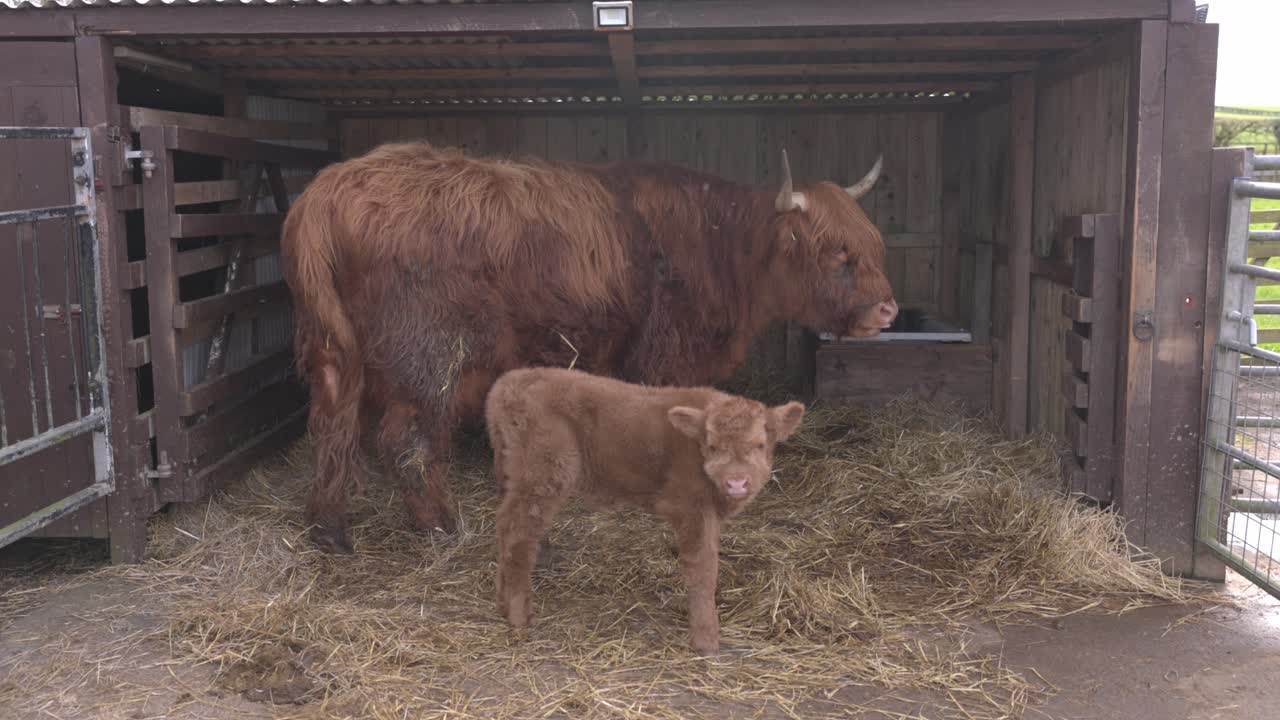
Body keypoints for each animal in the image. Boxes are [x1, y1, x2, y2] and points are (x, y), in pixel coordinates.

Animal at [280, 140, 896, 554]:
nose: (886, 310)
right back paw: (440, 525)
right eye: (837, 253)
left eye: (872, 243)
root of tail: (330, 188)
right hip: (429, 359)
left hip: (336, 355)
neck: (719, 245)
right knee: (406, 441)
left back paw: (328, 529)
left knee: (333, 427)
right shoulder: (665, 354)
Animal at [485, 366, 806, 655]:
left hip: (517, 478)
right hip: (543, 476)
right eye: (713, 447)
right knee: (518, 533)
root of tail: (511, 381)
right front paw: (706, 640)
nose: (737, 482)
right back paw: (519, 615)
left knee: (504, 526)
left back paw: (502, 602)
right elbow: (703, 568)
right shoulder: (690, 508)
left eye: (760, 445)